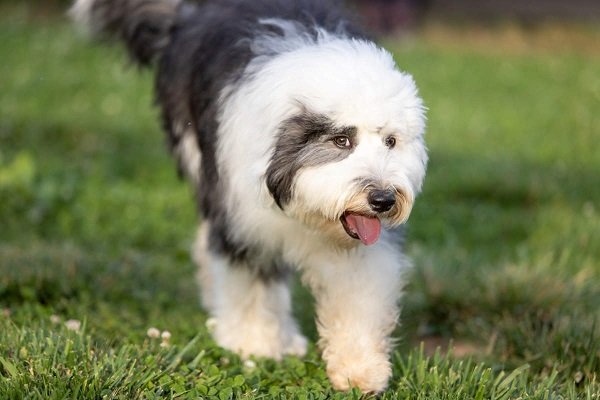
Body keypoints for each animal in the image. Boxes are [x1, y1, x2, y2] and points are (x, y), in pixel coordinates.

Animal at [70, 0, 426, 394]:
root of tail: (190, 14)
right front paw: (256, 346)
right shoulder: (243, 223)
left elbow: (357, 297)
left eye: (391, 141)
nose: (383, 200)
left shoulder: (359, 251)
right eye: (341, 140)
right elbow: (252, 286)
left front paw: (360, 370)